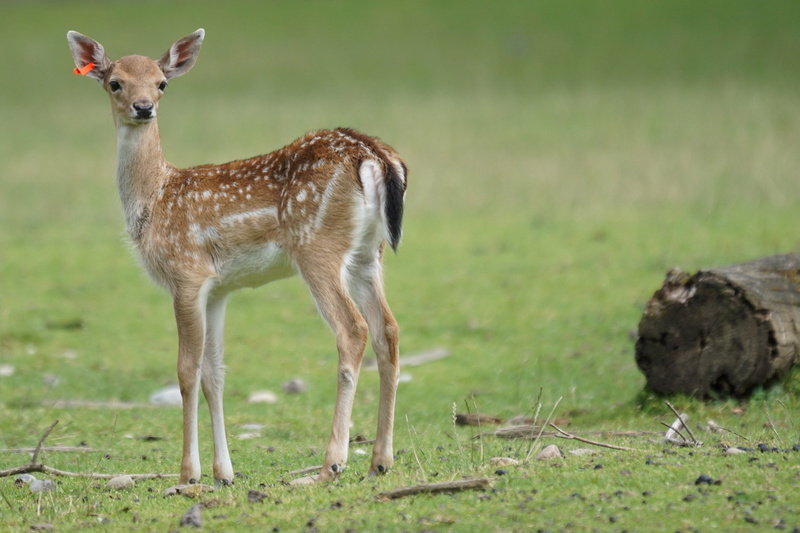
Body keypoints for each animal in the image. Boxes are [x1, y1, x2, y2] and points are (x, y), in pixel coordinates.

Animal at [66, 28, 407, 486]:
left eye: (162, 83)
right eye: (115, 82)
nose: (144, 108)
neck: (154, 200)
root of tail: (374, 155)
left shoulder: (186, 273)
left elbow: (186, 370)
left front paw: (188, 473)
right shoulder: (218, 289)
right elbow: (215, 374)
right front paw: (223, 473)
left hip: (317, 246)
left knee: (352, 330)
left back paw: (330, 464)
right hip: (369, 253)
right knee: (388, 329)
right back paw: (380, 460)